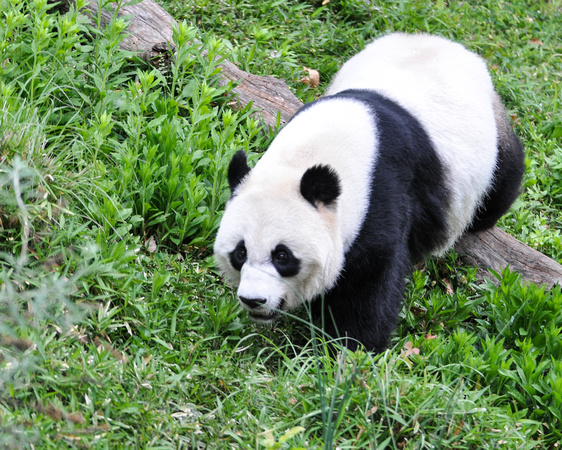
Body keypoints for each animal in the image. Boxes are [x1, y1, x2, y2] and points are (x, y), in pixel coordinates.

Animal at [212, 33, 524, 354]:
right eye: (240, 253)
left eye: (283, 256)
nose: (253, 300)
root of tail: (446, 43)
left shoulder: (381, 192)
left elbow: (370, 279)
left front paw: (353, 344)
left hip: (487, 139)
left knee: (504, 173)